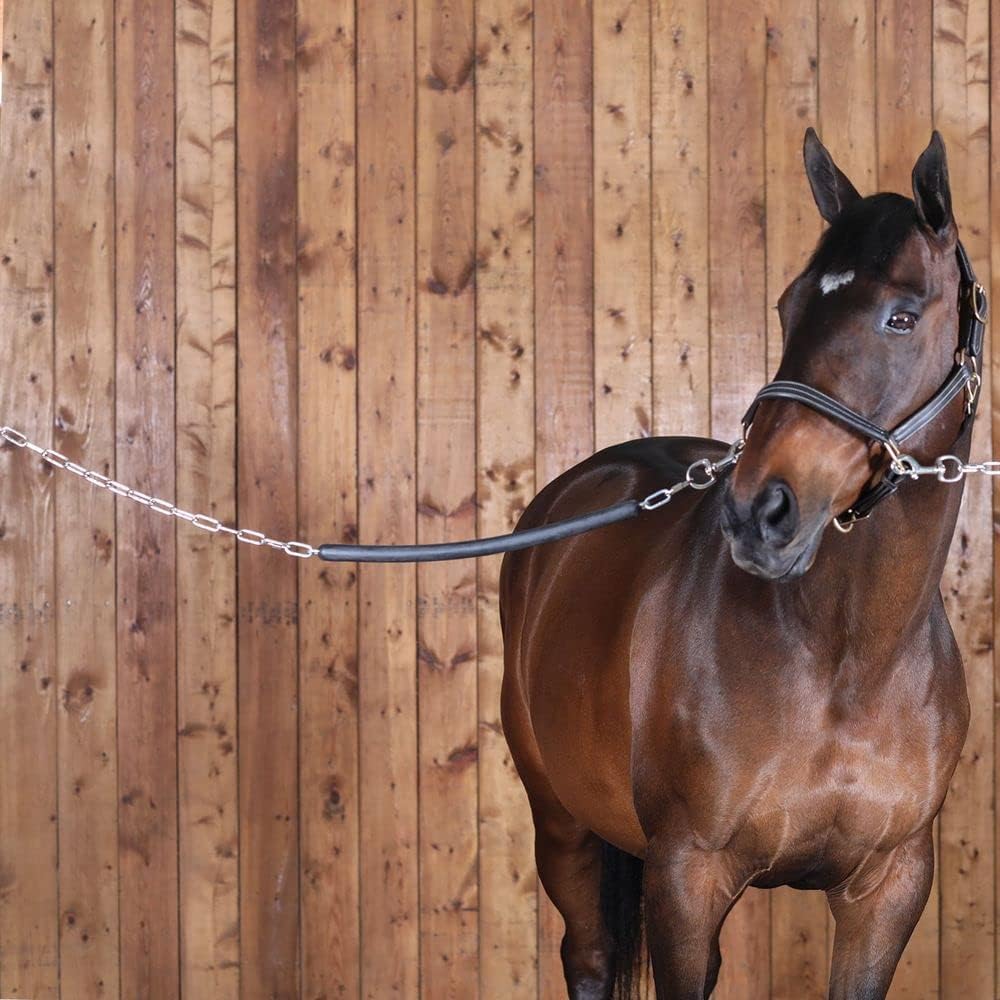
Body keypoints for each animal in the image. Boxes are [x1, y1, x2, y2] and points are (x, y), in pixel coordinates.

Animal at [499, 129, 985, 1000]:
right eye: (790, 305)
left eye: (901, 316)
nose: (761, 512)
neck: (845, 660)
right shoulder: (687, 877)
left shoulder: (889, 889)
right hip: (562, 826)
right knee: (586, 957)